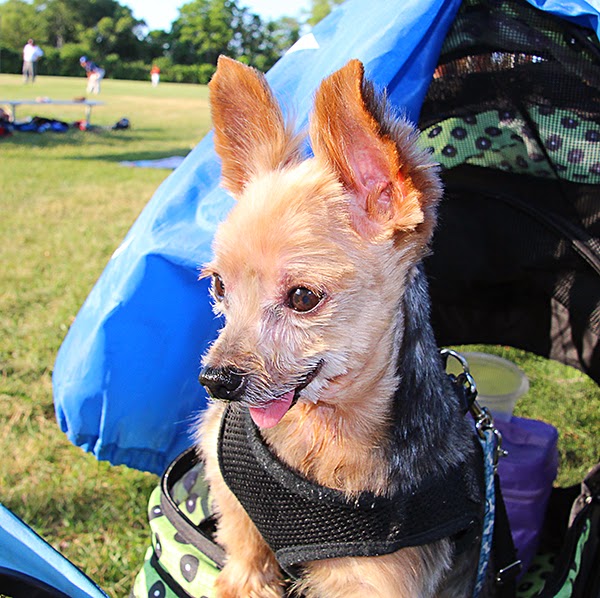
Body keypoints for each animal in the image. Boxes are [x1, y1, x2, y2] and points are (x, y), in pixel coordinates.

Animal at [197, 56, 486, 598]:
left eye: (303, 298)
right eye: (220, 286)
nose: (215, 380)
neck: (321, 428)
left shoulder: (374, 577)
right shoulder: (231, 495)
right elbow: (245, 550)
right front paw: (240, 583)